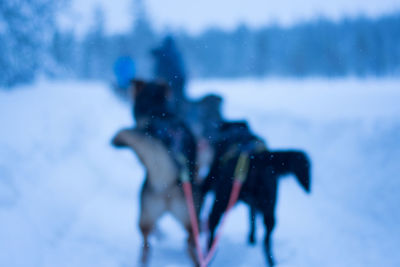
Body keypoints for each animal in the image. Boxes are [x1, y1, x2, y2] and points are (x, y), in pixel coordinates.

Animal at [202, 122, 310, 267]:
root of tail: (253, 157)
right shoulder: (255, 204)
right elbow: (252, 218)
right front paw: (252, 238)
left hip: (222, 200)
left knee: (212, 222)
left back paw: (208, 254)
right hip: (270, 209)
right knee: (267, 240)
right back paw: (271, 261)